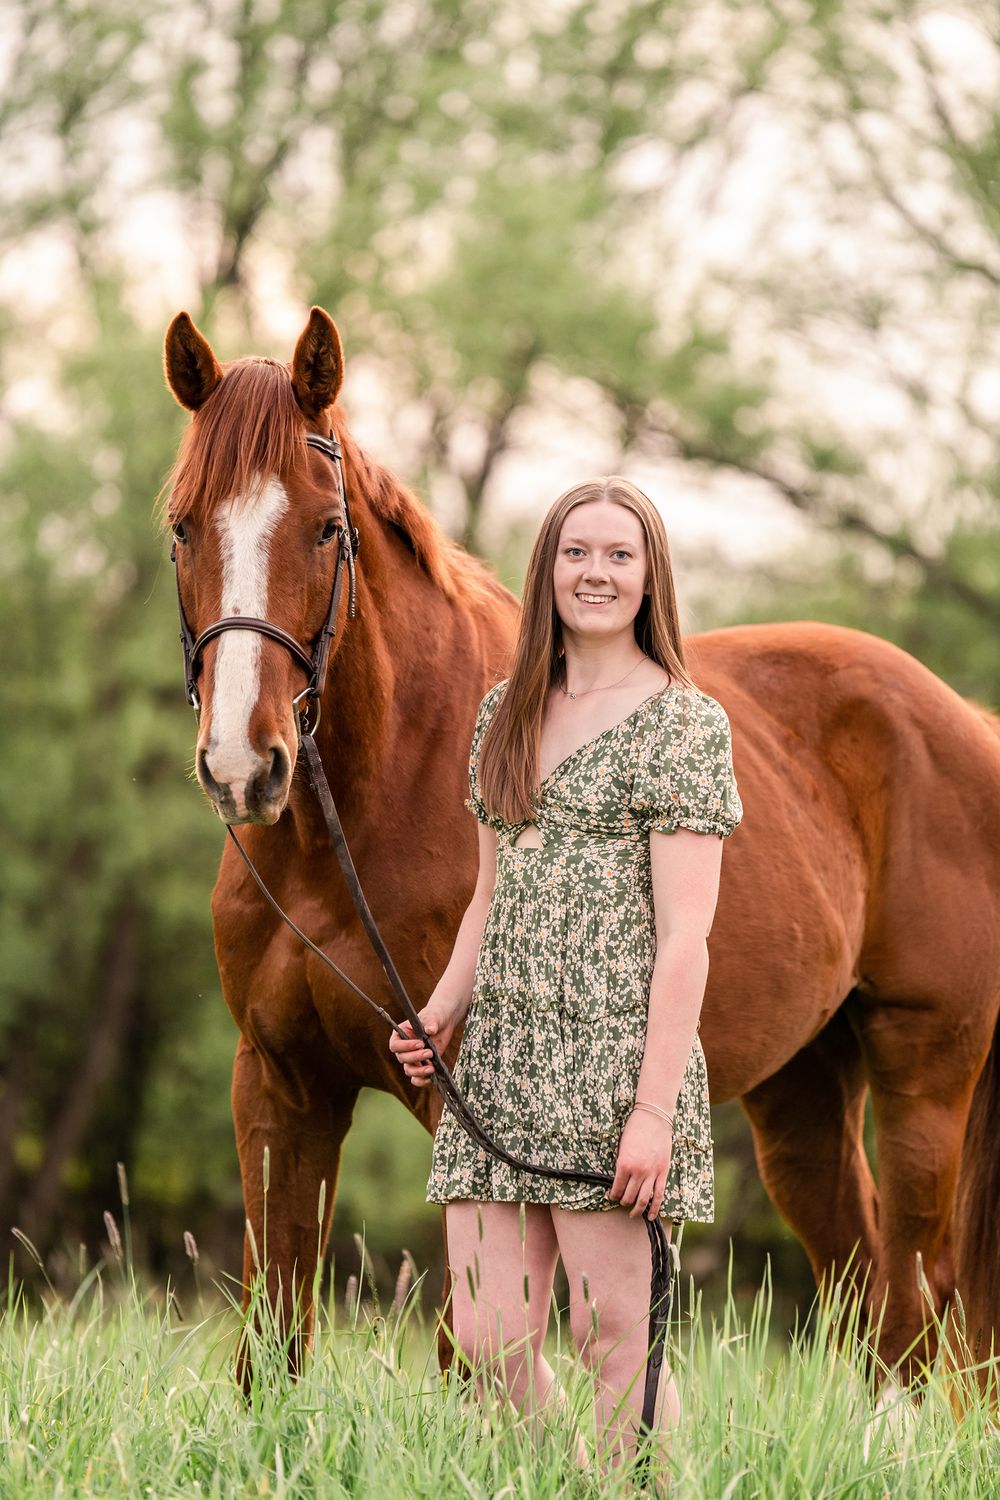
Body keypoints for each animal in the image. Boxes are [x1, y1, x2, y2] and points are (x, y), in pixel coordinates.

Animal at [163, 306, 1000, 1389]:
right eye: (183, 526)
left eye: (325, 528)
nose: (243, 764)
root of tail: (963, 721)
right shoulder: (278, 1087)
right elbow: (272, 1341)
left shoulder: (464, 1118)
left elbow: (474, 1355)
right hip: (803, 1088)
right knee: (868, 1292)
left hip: (925, 1076)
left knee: (924, 1304)